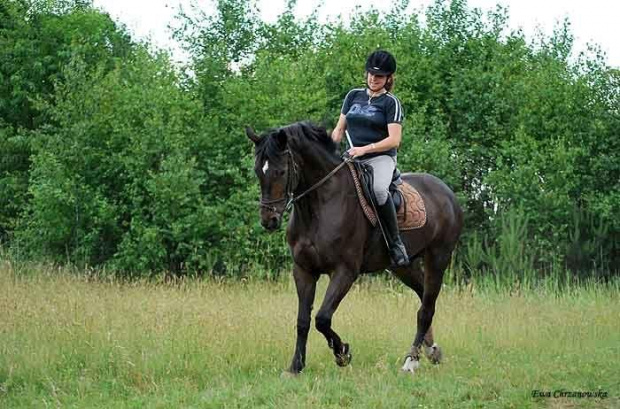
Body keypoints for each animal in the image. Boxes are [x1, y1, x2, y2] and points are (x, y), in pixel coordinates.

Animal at [245, 120, 462, 372]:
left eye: (280, 171)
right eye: (258, 171)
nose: (268, 220)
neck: (319, 206)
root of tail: (446, 192)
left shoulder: (345, 271)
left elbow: (322, 318)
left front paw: (343, 354)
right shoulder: (303, 270)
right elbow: (303, 321)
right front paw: (296, 367)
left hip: (438, 257)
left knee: (426, 309)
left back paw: (411, 361)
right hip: (402, 266)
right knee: (423, 296)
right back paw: (431, 350)